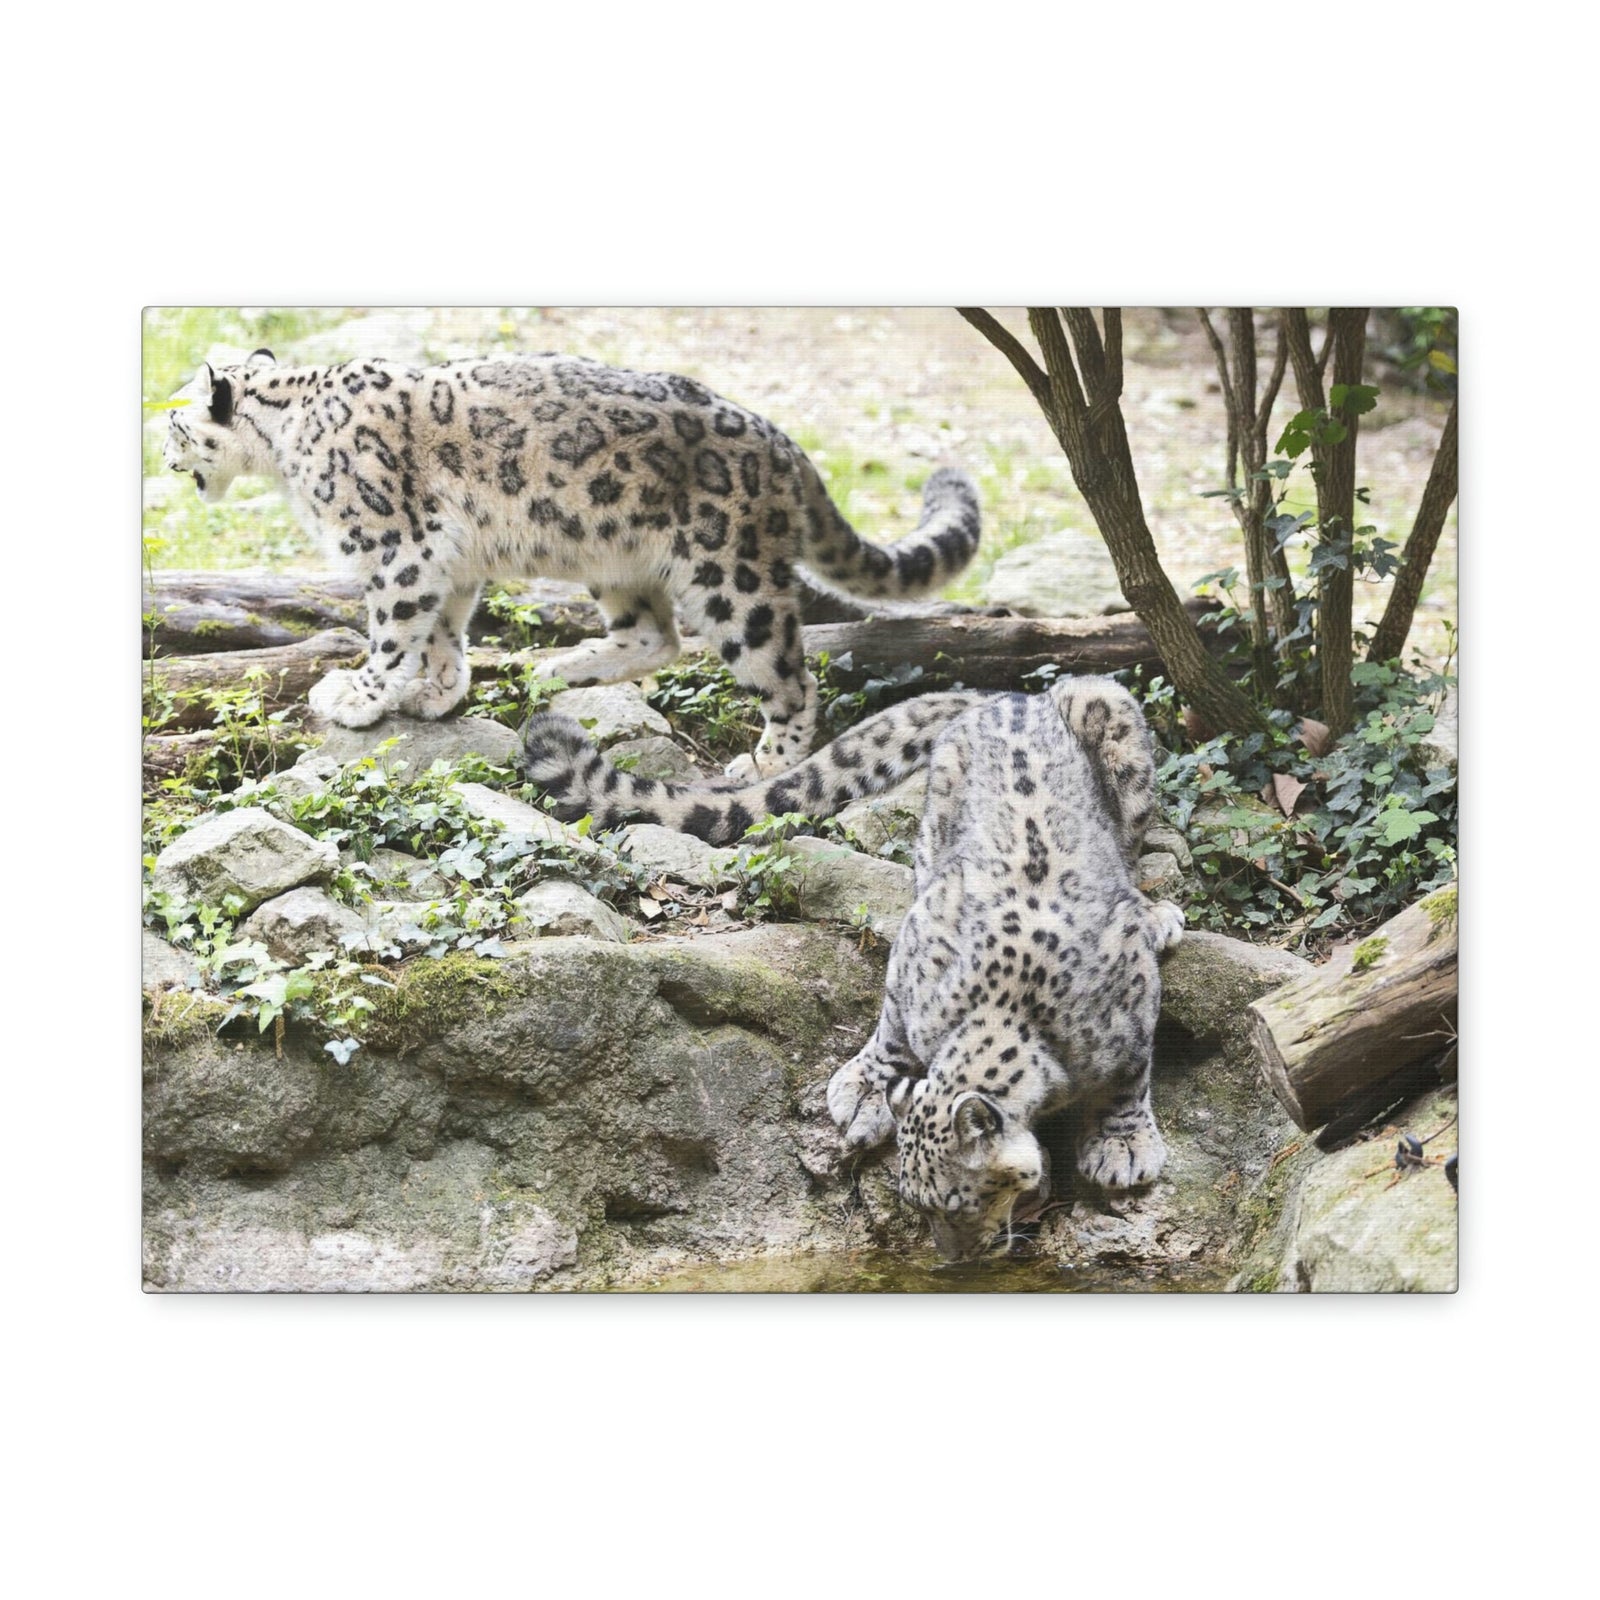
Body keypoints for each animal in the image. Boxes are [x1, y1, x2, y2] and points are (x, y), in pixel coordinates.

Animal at [162, 348, 982, 778]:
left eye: (173, 421)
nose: (163, 456)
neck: (284, 445)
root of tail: (783, 444)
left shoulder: (396, 547)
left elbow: (393, 629)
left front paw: (357, 695)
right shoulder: (445, 560)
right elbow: (443, 630)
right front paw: (437, 692)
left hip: (731, 576)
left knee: (787, 673)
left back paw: (768, 761)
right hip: (616, 557)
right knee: (655, 637)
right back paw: (563, 668)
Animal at [523, 674, 1184, 1262]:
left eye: (961, 1201)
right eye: (917, 1203)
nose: (953, 1259)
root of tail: (1012, 696)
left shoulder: (1129, 1002)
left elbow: (1130, 1077)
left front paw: (1123, 1146)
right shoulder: (920, 949)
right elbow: (890, 1026)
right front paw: (867, 1088)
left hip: (1114, 723)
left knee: (1130, 847)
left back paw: (1156, 912)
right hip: (938, 819)